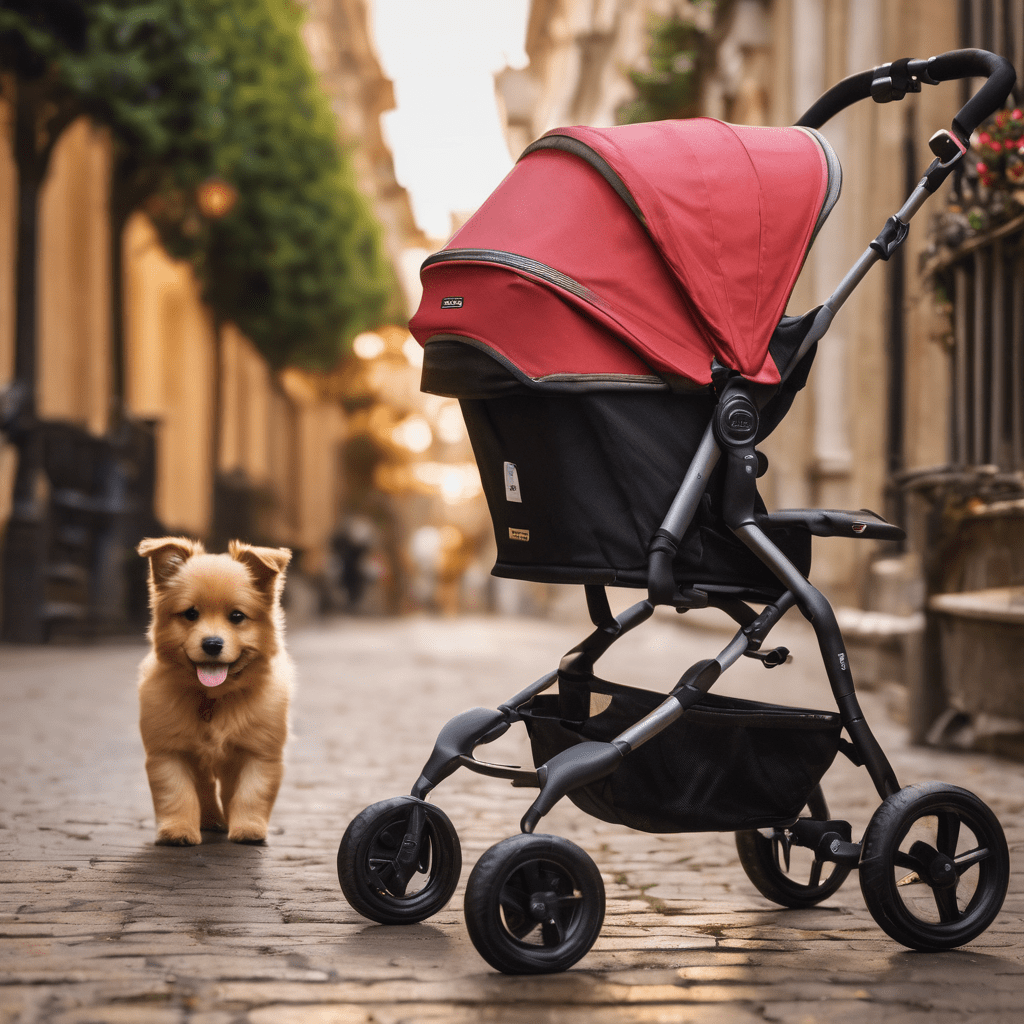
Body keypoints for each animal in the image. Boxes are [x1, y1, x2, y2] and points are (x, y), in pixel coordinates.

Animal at [138, 536, 294, 847]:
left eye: (237, 616)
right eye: (190, 614)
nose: (212, 643)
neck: (213, 698)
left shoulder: (259, 752)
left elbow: (251, 793)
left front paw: (249, 829)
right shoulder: (169, 751)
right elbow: (177, 794)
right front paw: (177, 830)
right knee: (206, 788)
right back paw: (211, 820)